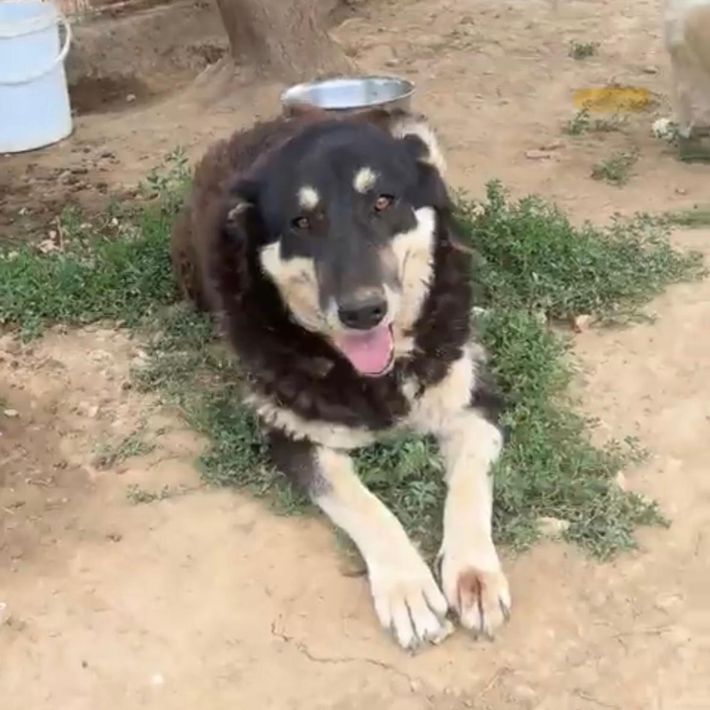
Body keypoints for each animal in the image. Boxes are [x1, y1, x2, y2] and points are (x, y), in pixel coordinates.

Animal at [171, 105, 511, 650]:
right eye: (302, 221)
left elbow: (469, 483)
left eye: (382, 201)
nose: (362, 312)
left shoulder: (475, 405)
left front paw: (473, 573)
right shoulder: (294, 437)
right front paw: (408, 589)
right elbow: (364, 505)